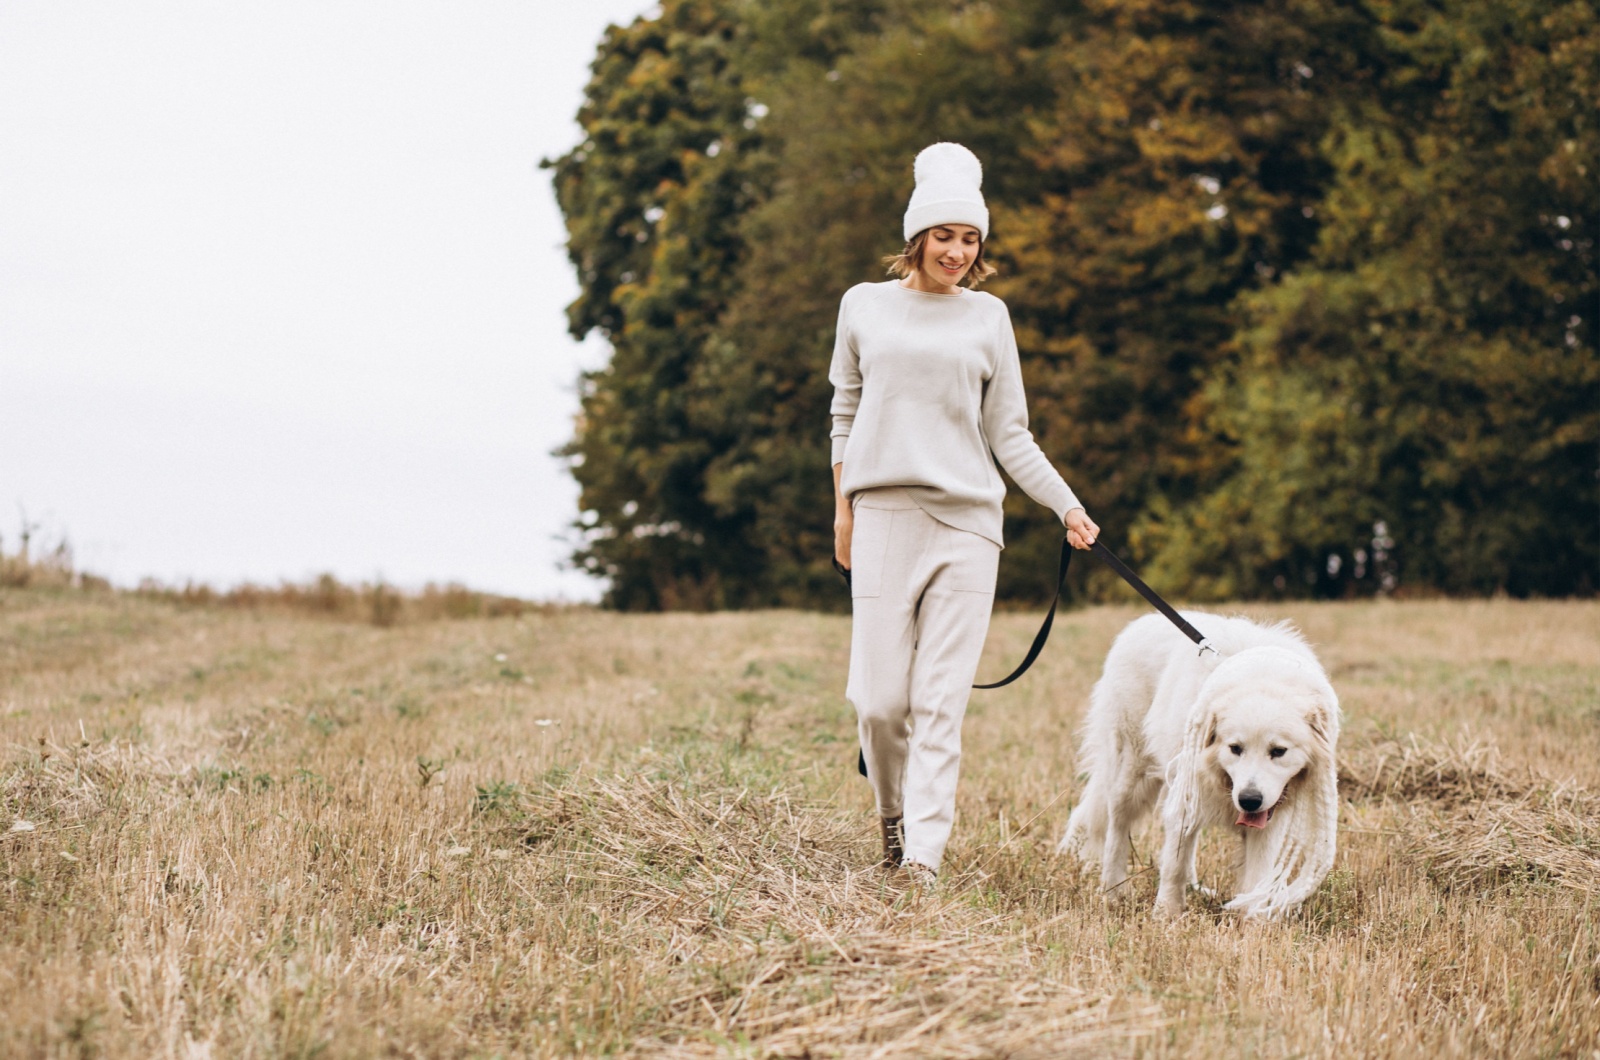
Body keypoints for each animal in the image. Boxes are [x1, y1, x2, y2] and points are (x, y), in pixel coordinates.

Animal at [1056, 614, 1344, 922]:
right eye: (1235, 748)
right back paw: (1113, 890)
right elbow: (1174, 866)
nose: (1249, 800)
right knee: (1117, 828)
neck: (1265, 679)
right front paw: (1166, 915)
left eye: (1278, 751)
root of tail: (1142, 620)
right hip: (1132, 773)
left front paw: (1253, 923)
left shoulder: (1267, 820)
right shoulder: (1189, 793)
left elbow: (1256, 876)